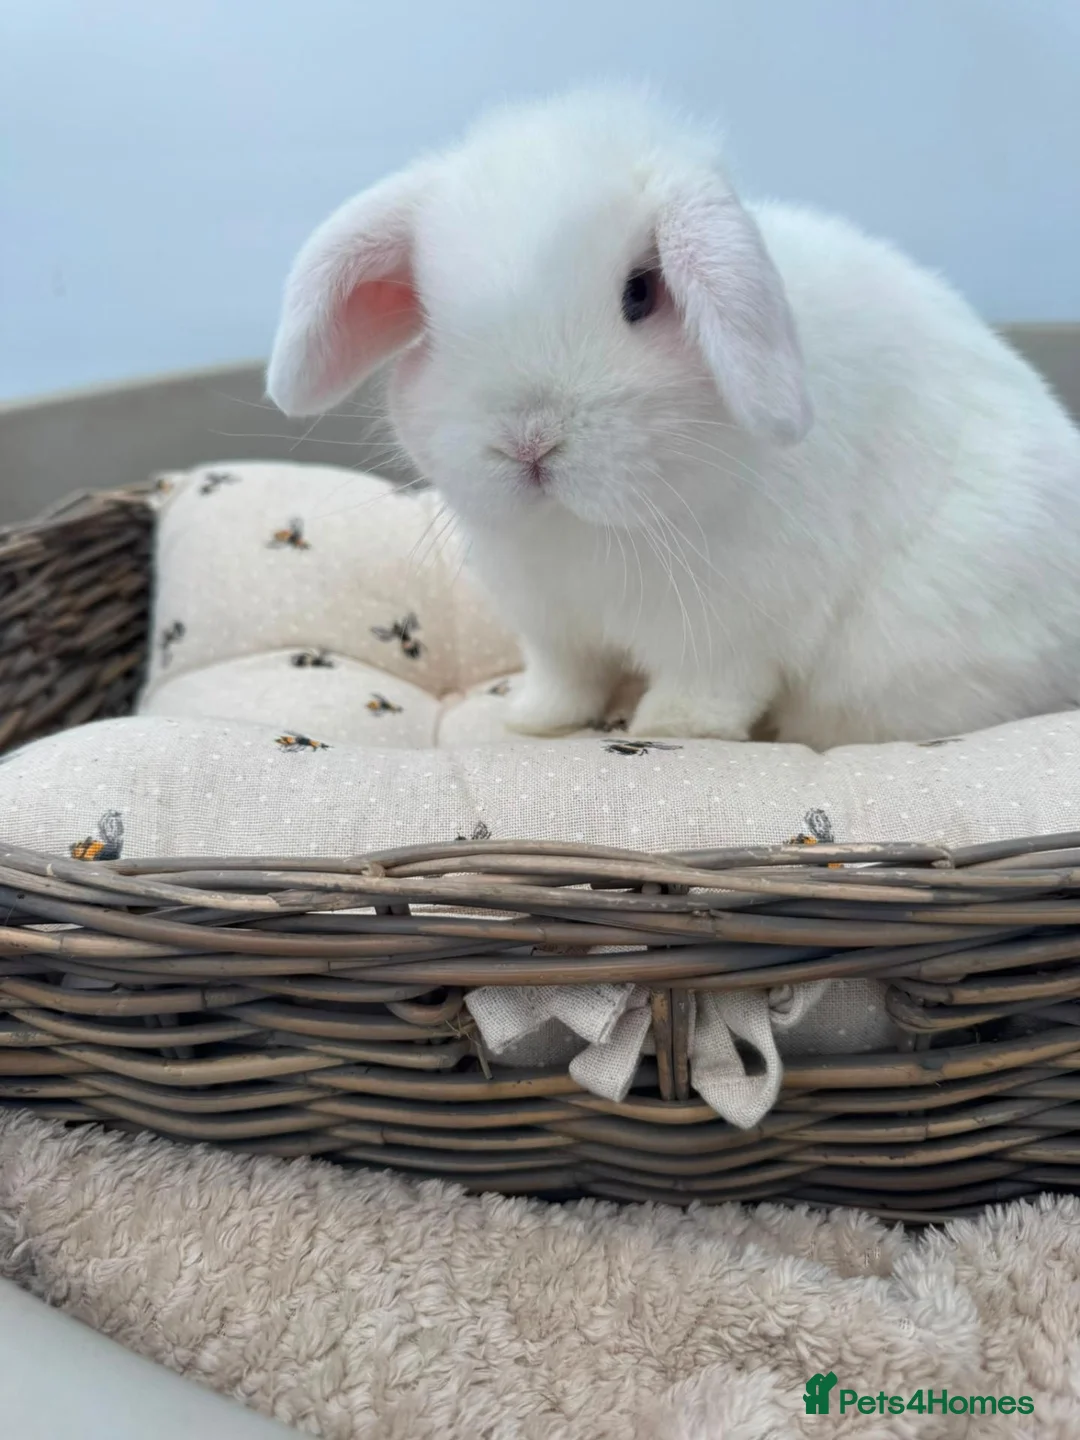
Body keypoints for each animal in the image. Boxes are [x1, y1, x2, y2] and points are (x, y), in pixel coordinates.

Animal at [266, 86, 1080, 749]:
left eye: (640, 293)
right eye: (430, 324)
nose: (528, 442)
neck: (586, 527)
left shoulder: (735, 625)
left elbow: (711, 688)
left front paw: (673, 729)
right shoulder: (552, 624)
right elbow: (566, 678)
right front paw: (533, 720)